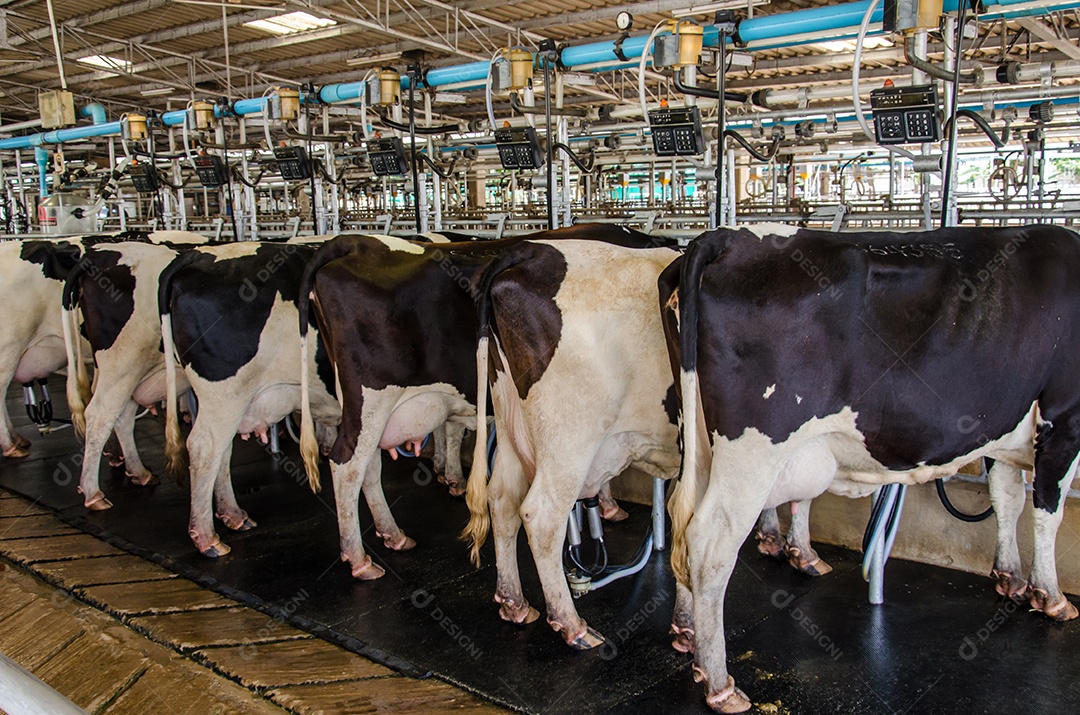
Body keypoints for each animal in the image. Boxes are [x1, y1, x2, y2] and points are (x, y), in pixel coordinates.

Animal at [61, 235, 208, 509]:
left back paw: (136, 470)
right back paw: (93, 492)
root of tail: (98, 254)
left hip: (129, 372)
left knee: (121, 414)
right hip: (123, 364)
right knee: (99, 414)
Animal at [295, 225, 656, 583]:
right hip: (371, 397)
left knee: (367, 466)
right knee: (346, 465)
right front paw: (609, 505)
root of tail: (356, 242)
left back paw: (393, 535)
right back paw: (359, 559)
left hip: (363, 407)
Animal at [460, 239, 678, 648]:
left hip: (511, 420)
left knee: (501, 499)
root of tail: (530, 250)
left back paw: (514, 603)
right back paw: (571, 624)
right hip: (568, 437)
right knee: (542, 515)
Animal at [660, 225, 1080, 715]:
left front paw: (1009, 577)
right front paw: (1049, 595)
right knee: (709, 542)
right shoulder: (1064, 417)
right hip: (753, 450)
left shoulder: (1000, 426)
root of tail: (730, 237)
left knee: (682, 517)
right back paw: (719, 681)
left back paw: (687, 632)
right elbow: (1047, 512)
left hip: (697, 437)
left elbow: (1006, 499)